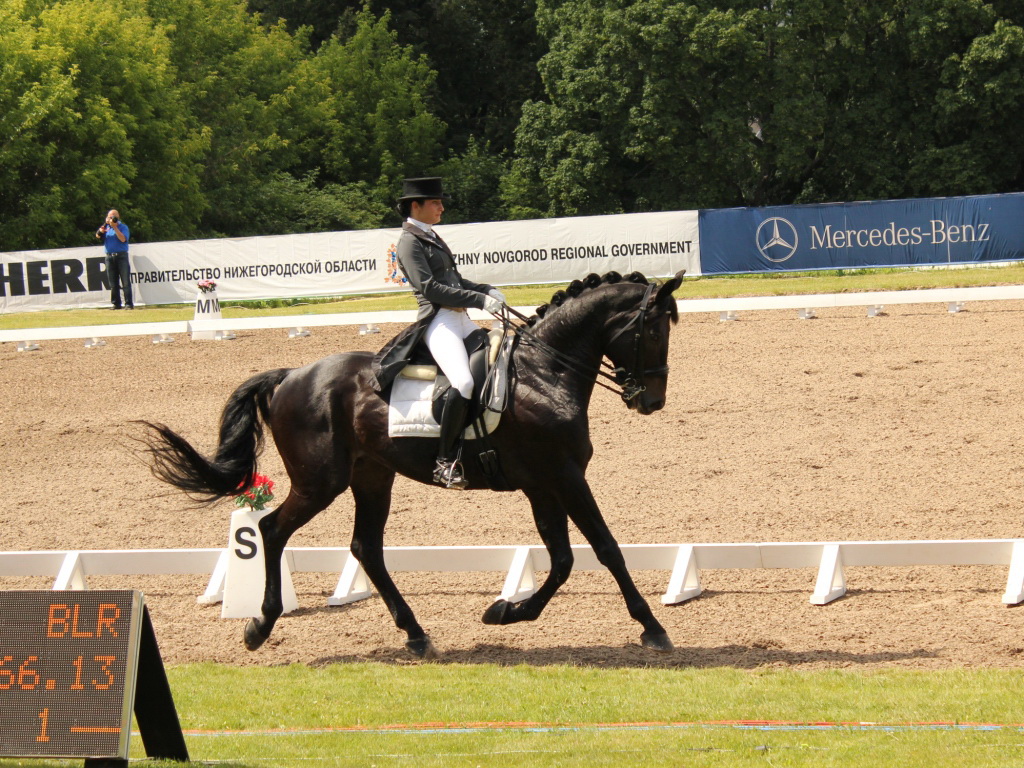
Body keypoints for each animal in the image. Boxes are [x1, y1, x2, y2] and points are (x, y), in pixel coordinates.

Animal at [136, 268, 679, 655]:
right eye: (653, 330)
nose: (651, 401)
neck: (544, 373)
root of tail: (291, 376)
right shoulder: (563, 478)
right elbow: (605, 549)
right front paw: (652, 627)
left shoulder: (544, 483)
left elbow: (564, 559)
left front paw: (505, 611)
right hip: (319, 482)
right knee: (271, 531)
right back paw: (259, 625)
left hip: (373, 476)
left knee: (365, 548)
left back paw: (416, 634)